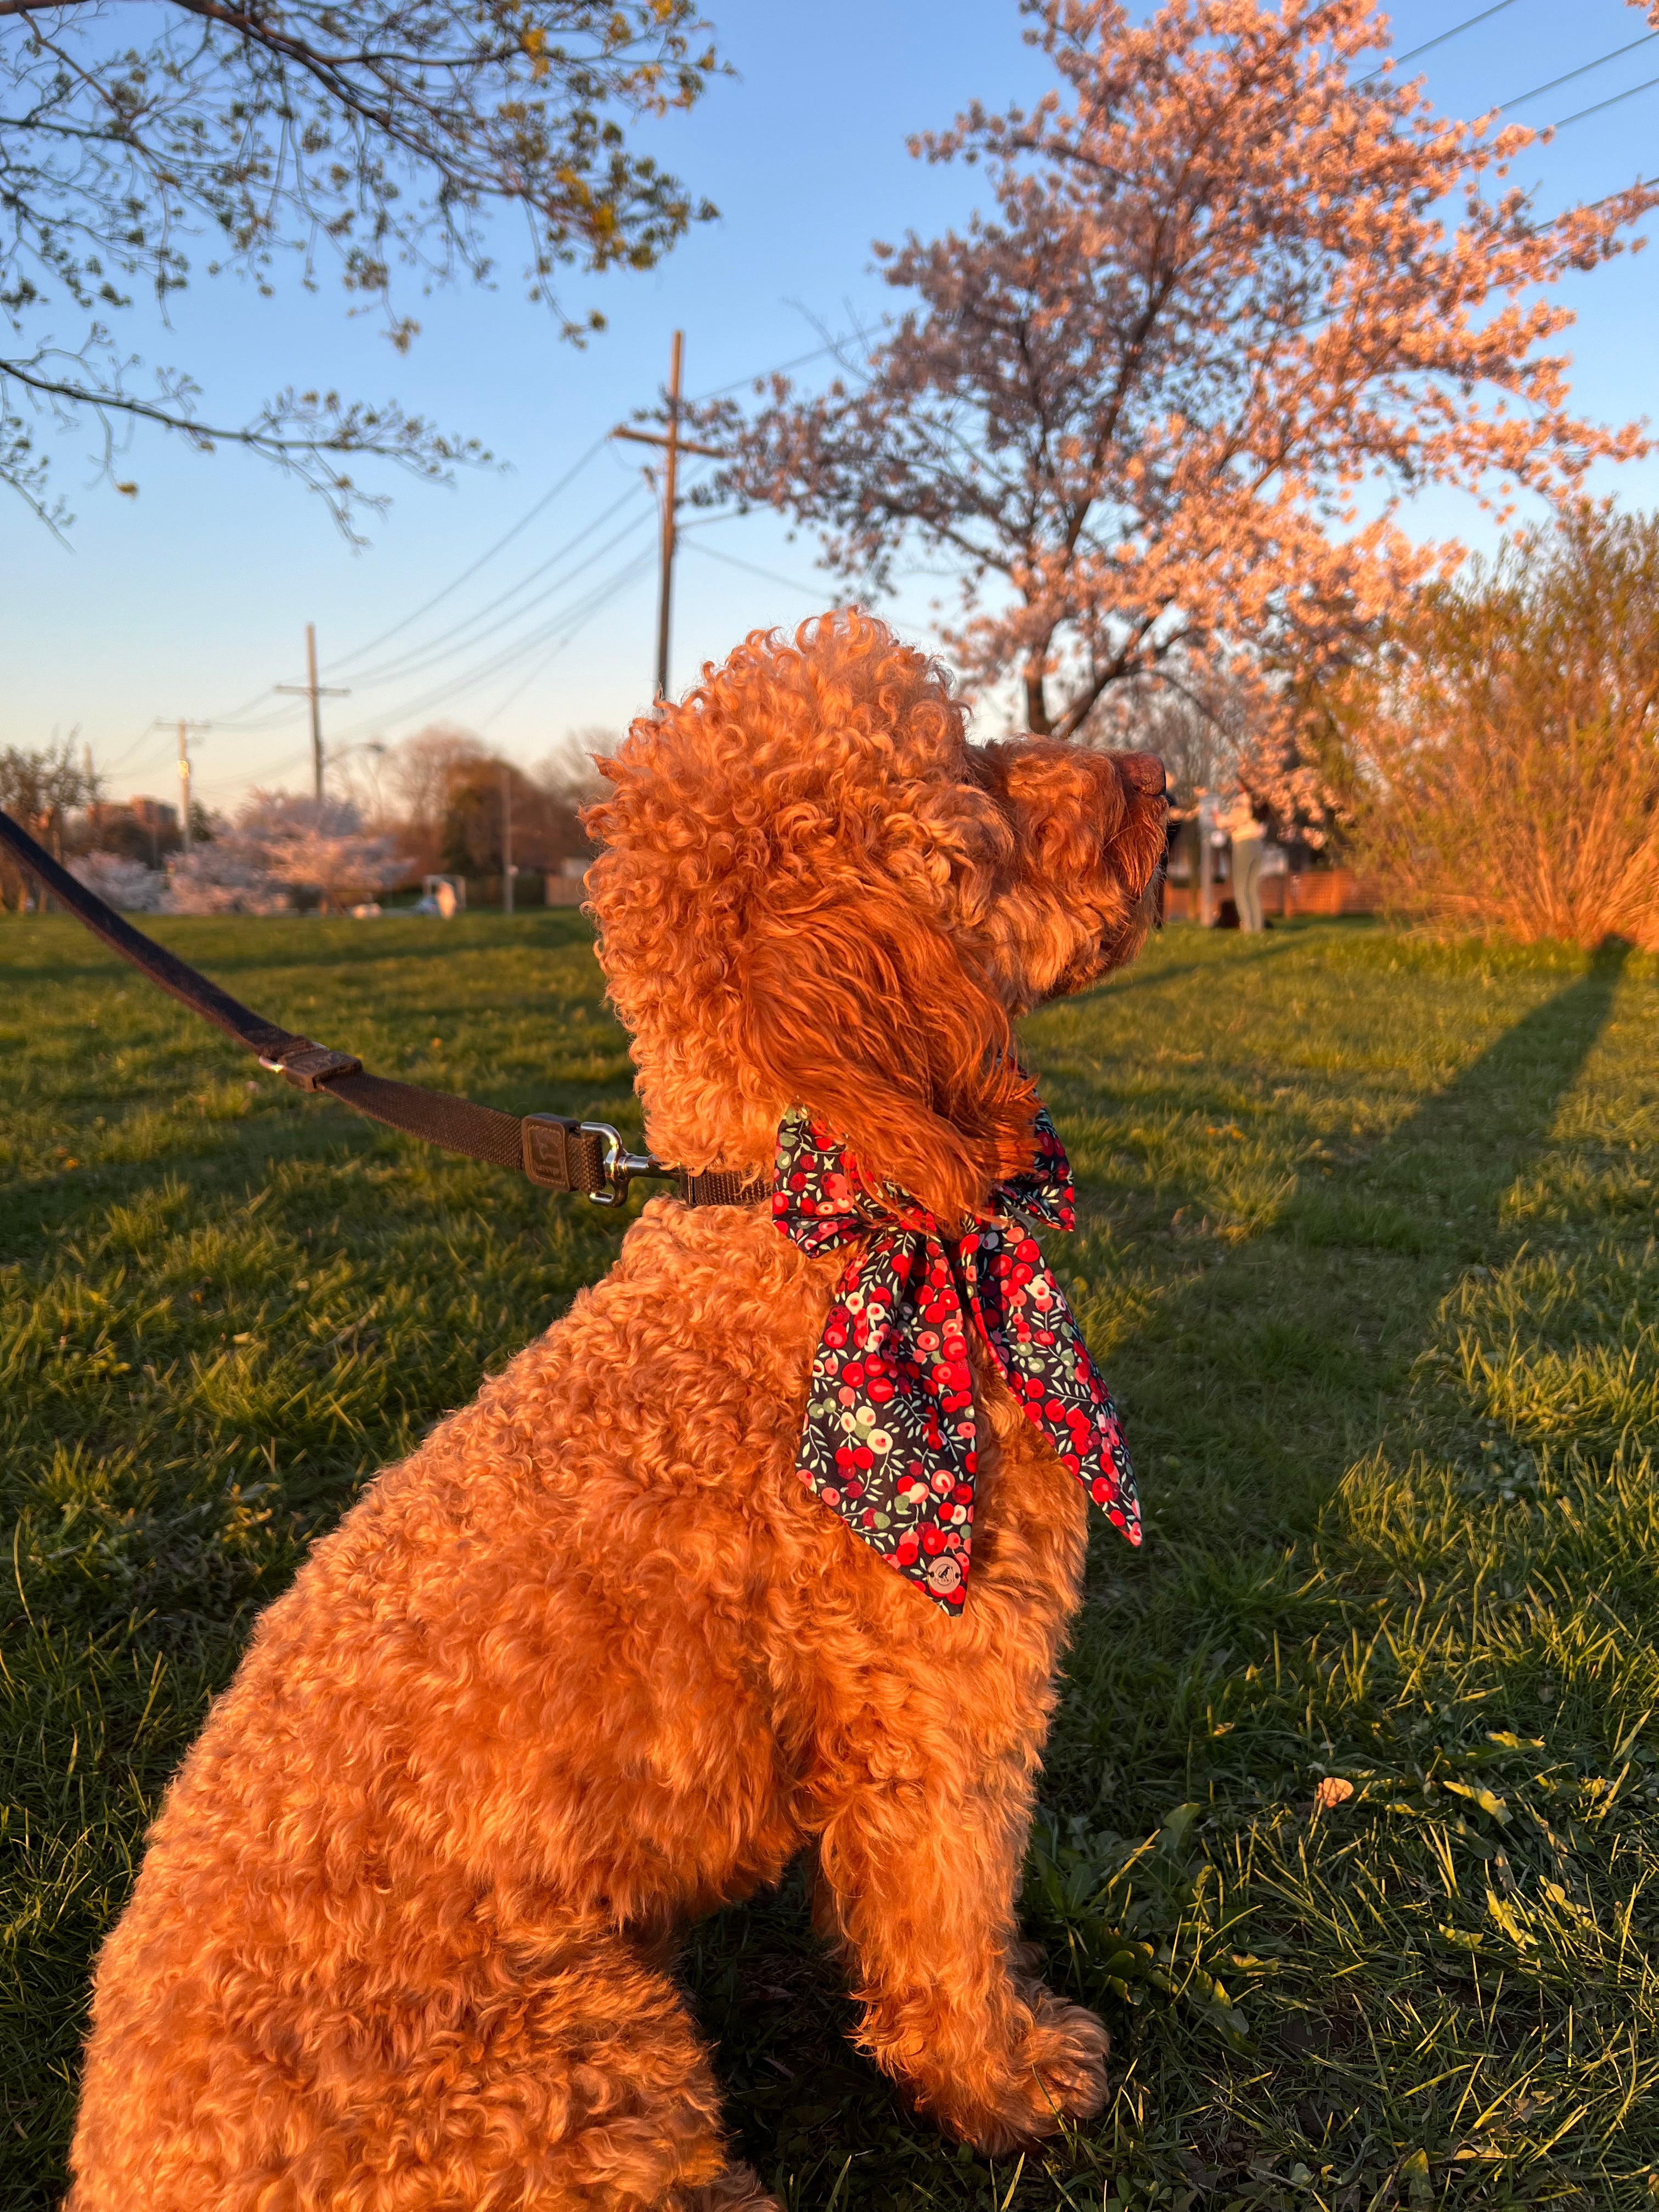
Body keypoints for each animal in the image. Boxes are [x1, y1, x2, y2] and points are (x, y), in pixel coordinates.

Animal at [68, 614, 1167, 2212]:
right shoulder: (941, 1711)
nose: (1157, 781)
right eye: (967, 766)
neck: (806, 1224)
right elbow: (948, 1932)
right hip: (587, 2048)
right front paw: (1012, 2079)